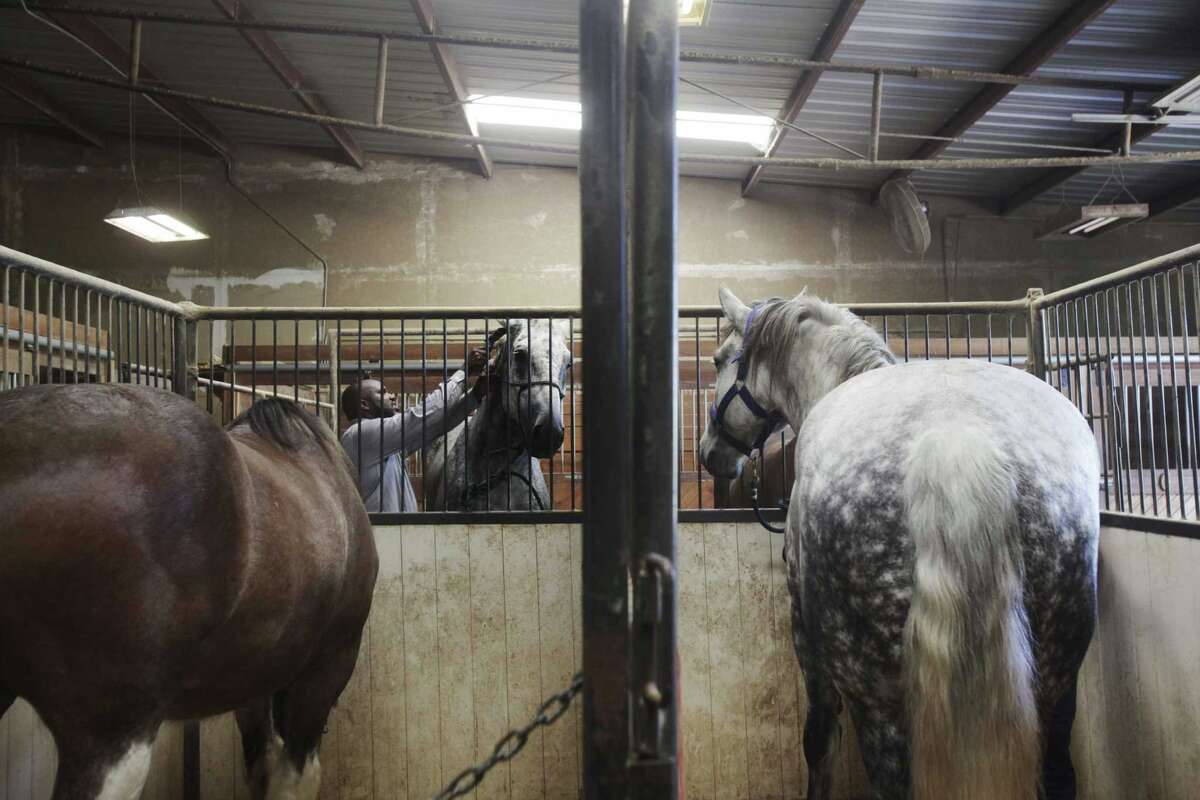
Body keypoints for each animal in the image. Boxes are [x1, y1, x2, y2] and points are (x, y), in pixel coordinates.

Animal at [699, 288, 1098, 800]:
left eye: (719, 359)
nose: (710, 454)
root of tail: (956, 438)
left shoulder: (804, 633)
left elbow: (819, 739)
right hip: (1056, 680)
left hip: (877, 697)